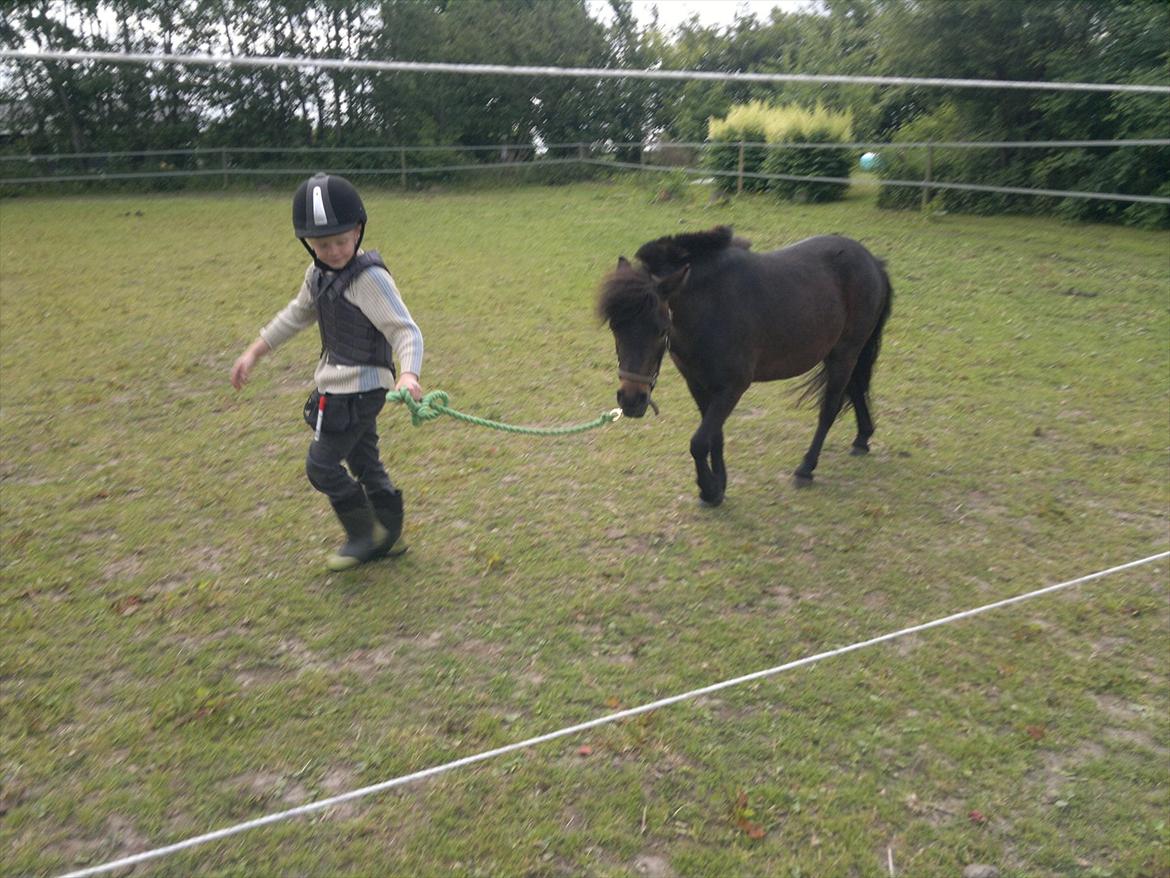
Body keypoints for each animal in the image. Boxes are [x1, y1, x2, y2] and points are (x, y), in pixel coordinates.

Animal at [599, 223, 889, 505]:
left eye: (661, 330)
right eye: (614, 327)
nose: (631, 400)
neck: (711, 307)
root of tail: (872, 260)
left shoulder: (733, 387)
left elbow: (699, 441)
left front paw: (708, 489)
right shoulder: (698, 383)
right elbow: (714, 435)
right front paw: (718, 486)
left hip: (845, 353)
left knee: (829, 409)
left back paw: (806, 469)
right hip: (840, 353)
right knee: (856, 387)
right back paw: (862, 439)